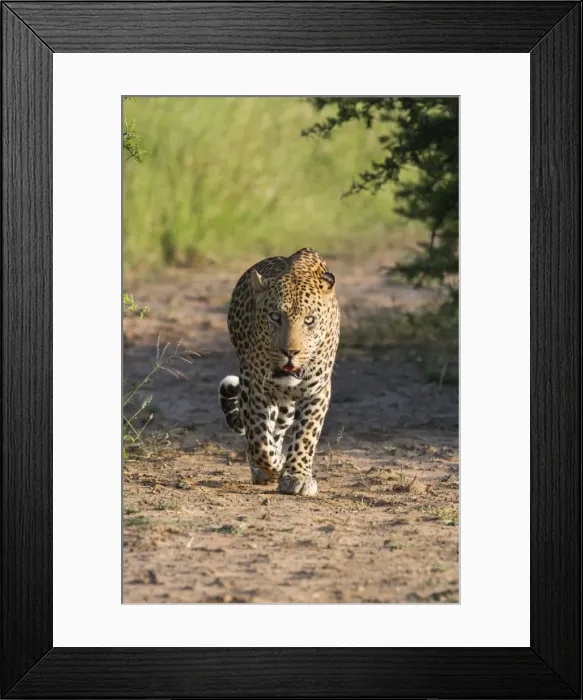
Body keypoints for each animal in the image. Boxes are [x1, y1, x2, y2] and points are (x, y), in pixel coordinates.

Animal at [218, 247, 340, 497]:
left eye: (309, 320)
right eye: (275, 317)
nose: (290, 352)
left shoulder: (317, 392)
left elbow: (306, 434)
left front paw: (297, 476)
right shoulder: (254, 388)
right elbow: (258, 439)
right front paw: (274, 466)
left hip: (285, 406)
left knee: (279, 429)